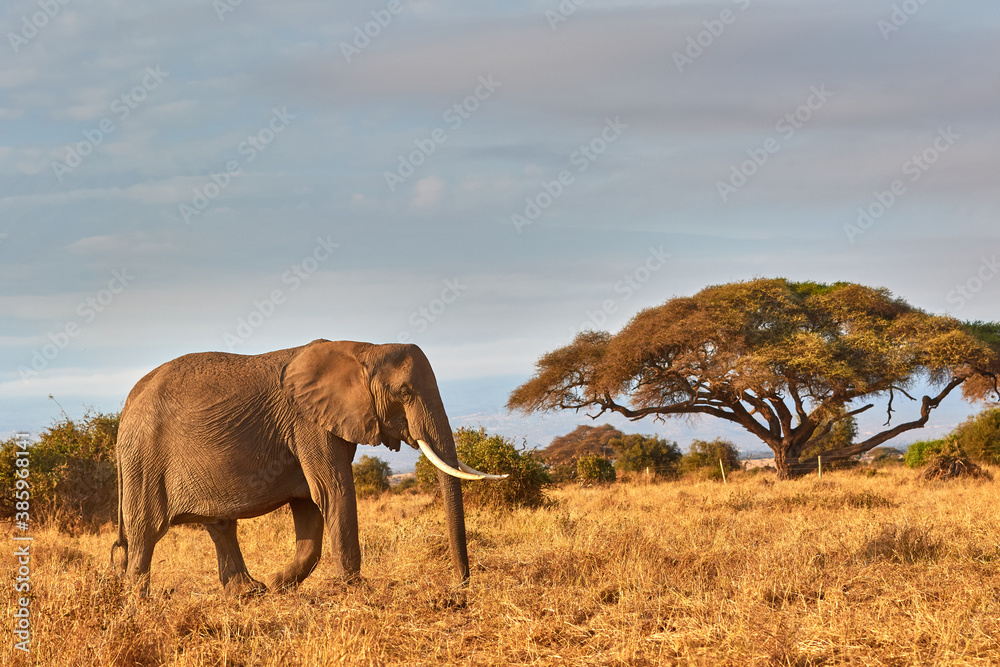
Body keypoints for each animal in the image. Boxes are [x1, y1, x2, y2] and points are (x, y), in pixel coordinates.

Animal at [111, 339, 503, 596]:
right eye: (404, 393)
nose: (459, 586)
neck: (364, 349)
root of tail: (128, 404)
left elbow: (309, 505)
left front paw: (279, 583)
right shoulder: (308, 423)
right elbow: (333, 490)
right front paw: (354, 589)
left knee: (220, 526)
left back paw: (250, 592)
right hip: (144, 459)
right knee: (146, 531)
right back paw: (139, 603)